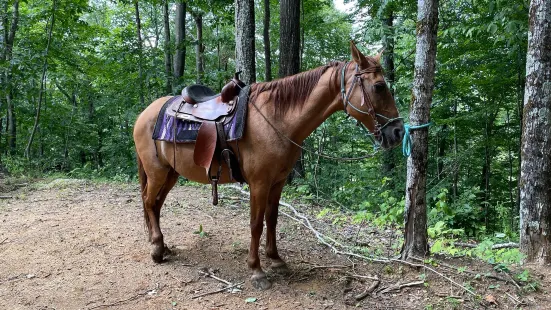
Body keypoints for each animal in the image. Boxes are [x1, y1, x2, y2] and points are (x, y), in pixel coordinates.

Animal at [132, 42, 404, 290]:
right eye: (379, 86)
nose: (398, 132)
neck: (277, 119)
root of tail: (145, 113)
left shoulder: (278, 181)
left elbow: (272, 219)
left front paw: (276, 260)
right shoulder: (259, 183)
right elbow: (256, 224)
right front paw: (256, 270)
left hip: (171, 173)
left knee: (155, 205)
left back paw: (162, 245)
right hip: (157, 172)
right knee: (148, 201)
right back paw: (157, 248)